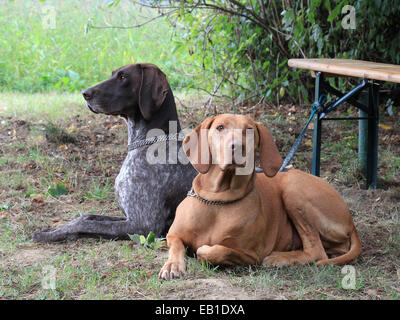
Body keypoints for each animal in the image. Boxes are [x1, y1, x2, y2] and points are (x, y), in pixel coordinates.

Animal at [32, 63, 197, 242]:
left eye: (123, 77)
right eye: (113, 74)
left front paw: (48, 235)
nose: (85, 93)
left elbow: (86, 223)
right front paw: (54, 230)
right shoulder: (127, 217)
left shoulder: (143, 225)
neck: (152, 141)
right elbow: (86, 217)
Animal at [159, 114, 362, 278]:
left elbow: (215, 251)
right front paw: (172, 265)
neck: (218, 200)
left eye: (249, 130)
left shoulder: (251, 255)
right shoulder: (173, 235)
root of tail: (351, 221)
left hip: (293, 188)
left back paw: (279, 258)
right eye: (220, 127)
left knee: (316, 252)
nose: (237, 147)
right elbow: (176, 245)